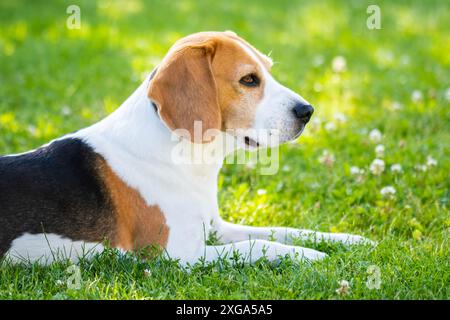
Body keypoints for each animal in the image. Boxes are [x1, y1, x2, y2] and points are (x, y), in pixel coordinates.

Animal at [0, 31, 370, 264]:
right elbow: (261, 245)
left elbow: (282, 230)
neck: (187, 158)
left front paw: (349, 240)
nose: (307, 112)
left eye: (268, 70)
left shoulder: (216, 227)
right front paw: (312, 256)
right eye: (249, 80)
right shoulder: (181, 254)